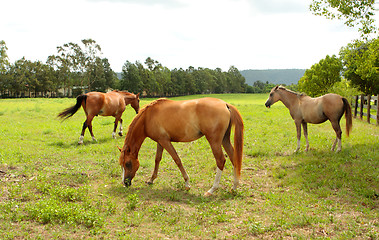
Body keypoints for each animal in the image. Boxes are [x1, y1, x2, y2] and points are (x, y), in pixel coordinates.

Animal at [118, 98, 246, 197]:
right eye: (122, 164)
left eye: (128, 164)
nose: (125, 183)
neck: (148, 117)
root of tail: (225, 104)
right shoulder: (160, 142)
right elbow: (157, 159)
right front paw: (151, 179)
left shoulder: (165, 141)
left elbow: (177, 159)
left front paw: (187, 184)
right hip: (225, 139)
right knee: (234, 158)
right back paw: (234, 187)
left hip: (214, 141)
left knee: (221, 160)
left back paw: (212, 190)